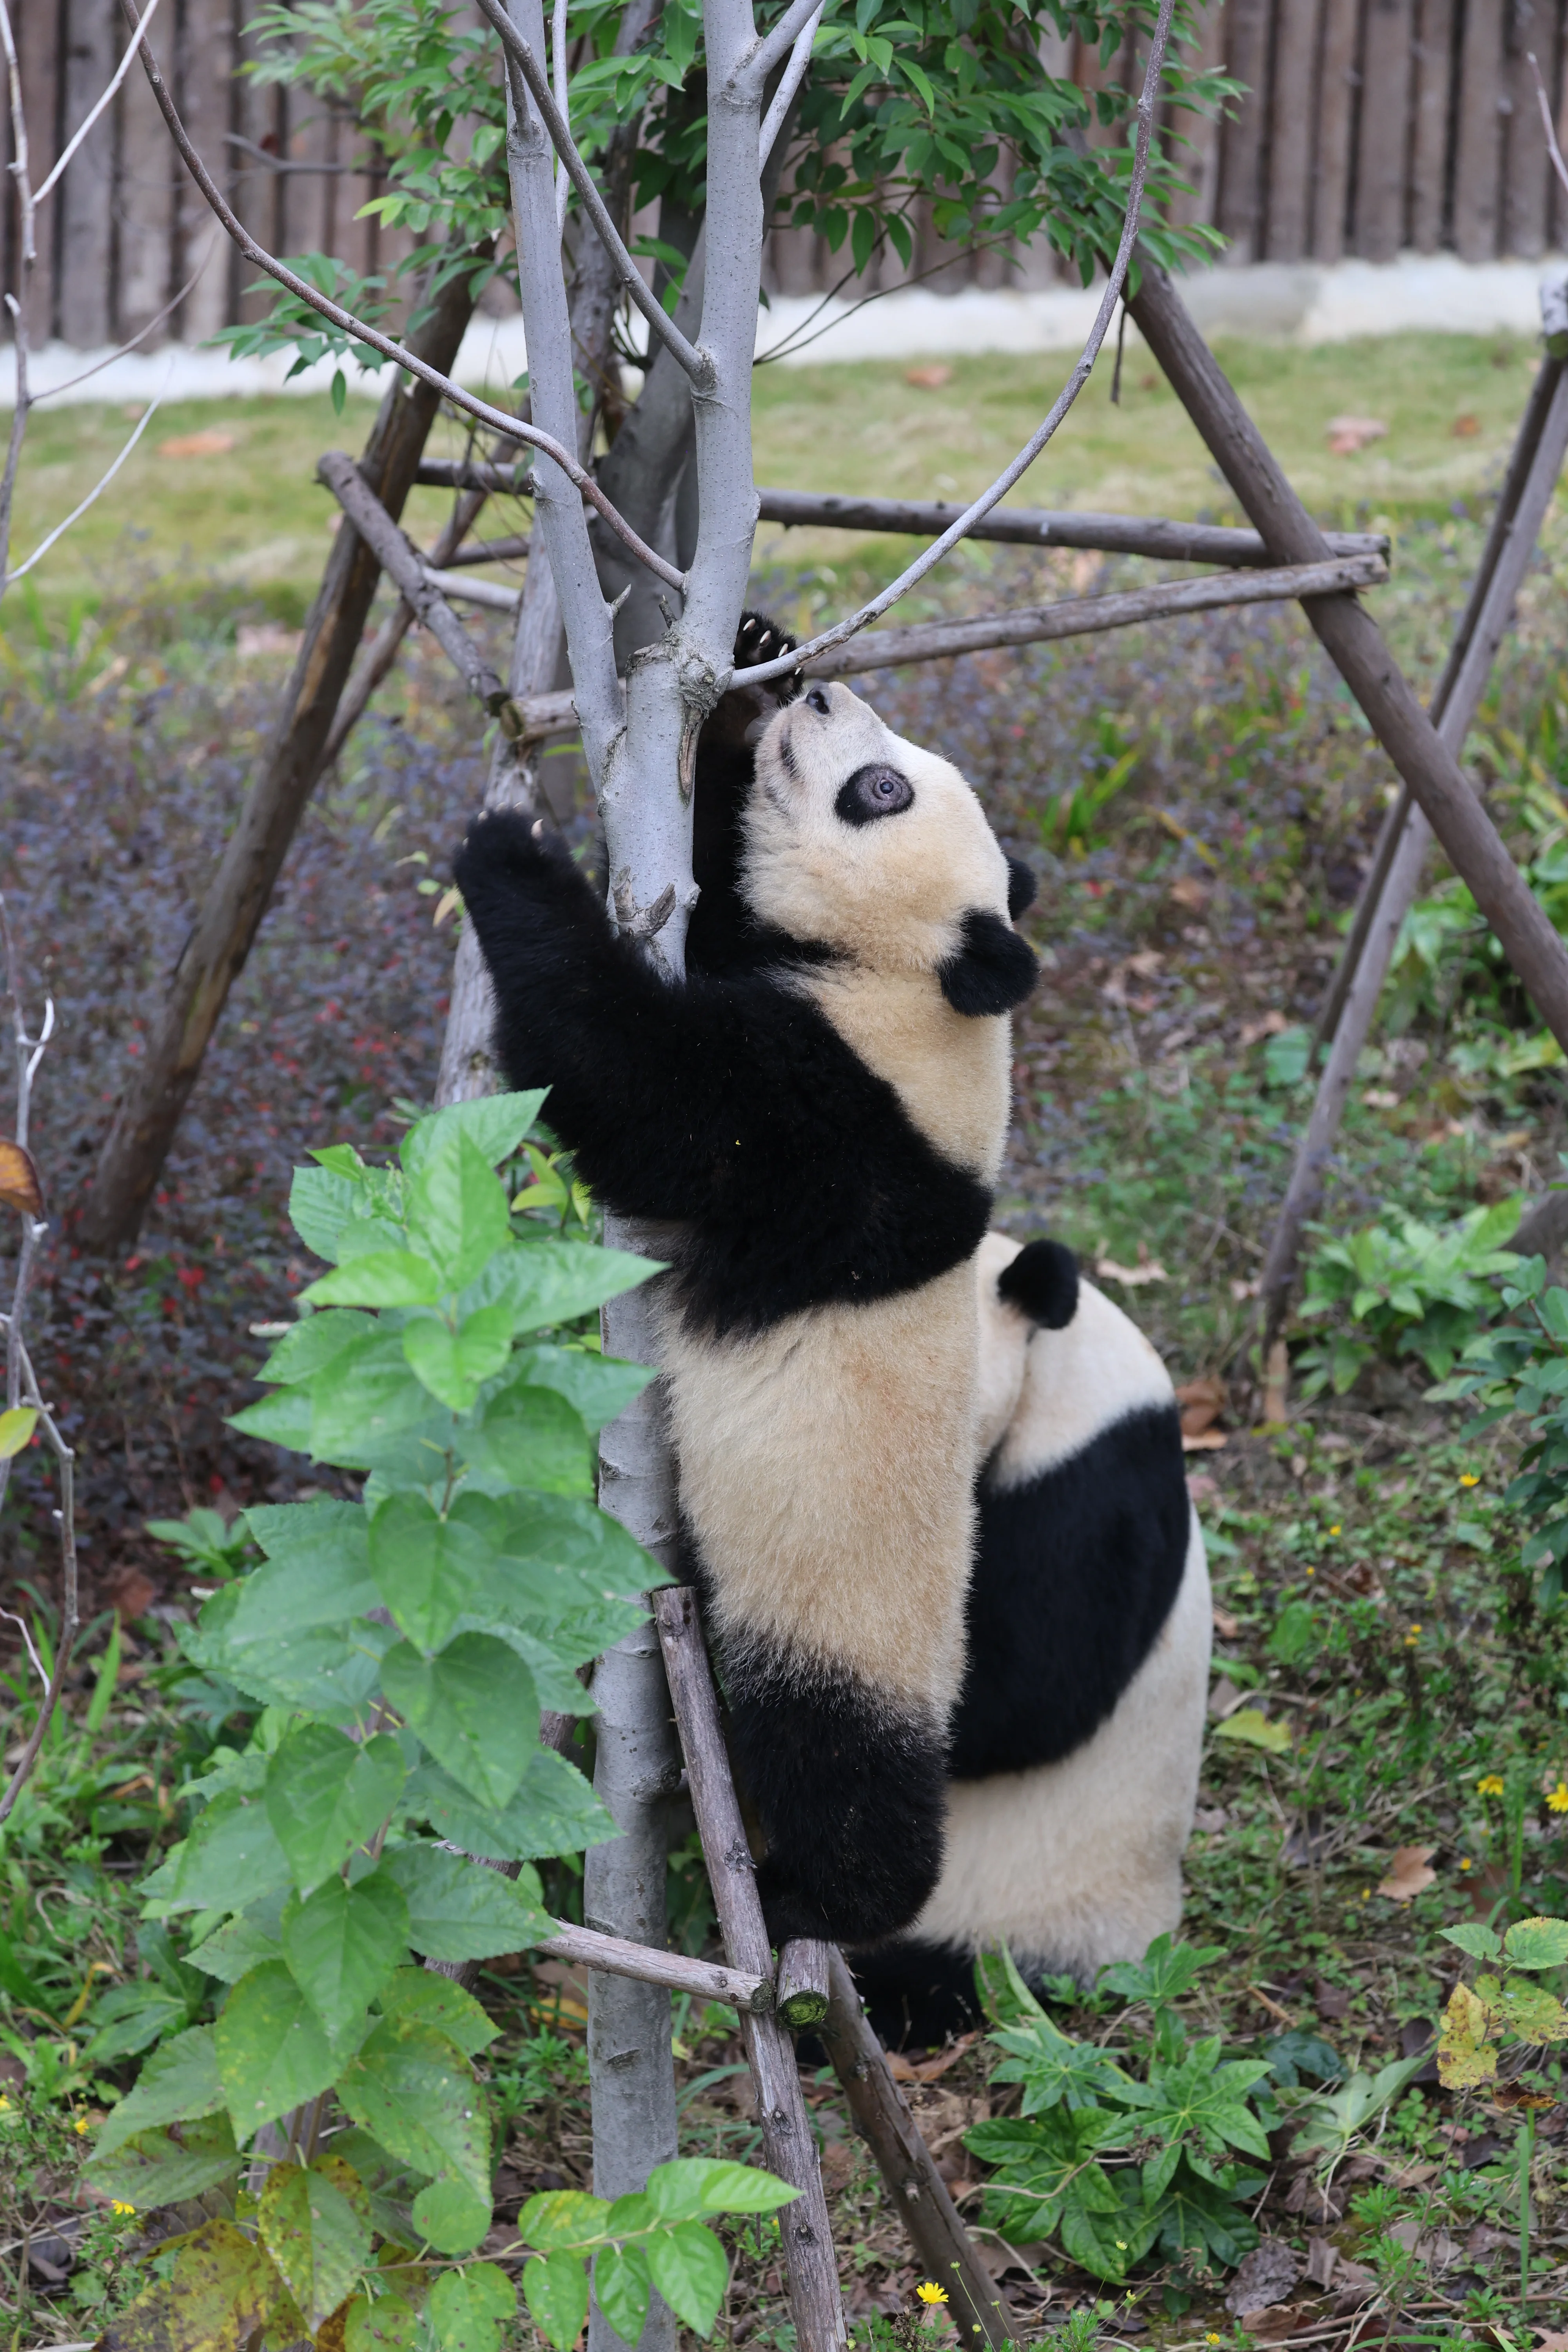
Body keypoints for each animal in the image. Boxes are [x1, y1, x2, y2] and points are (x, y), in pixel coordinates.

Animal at [453, 676, 1040, 1948]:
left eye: (883, 787)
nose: (821, 691)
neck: (906, 981)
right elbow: (714, 906)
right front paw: (739, 683)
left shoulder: (839, 1125)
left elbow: (641, 1093)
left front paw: (516, 849)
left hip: (836, 1626)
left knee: (841, 1773)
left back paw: (812, 1898)